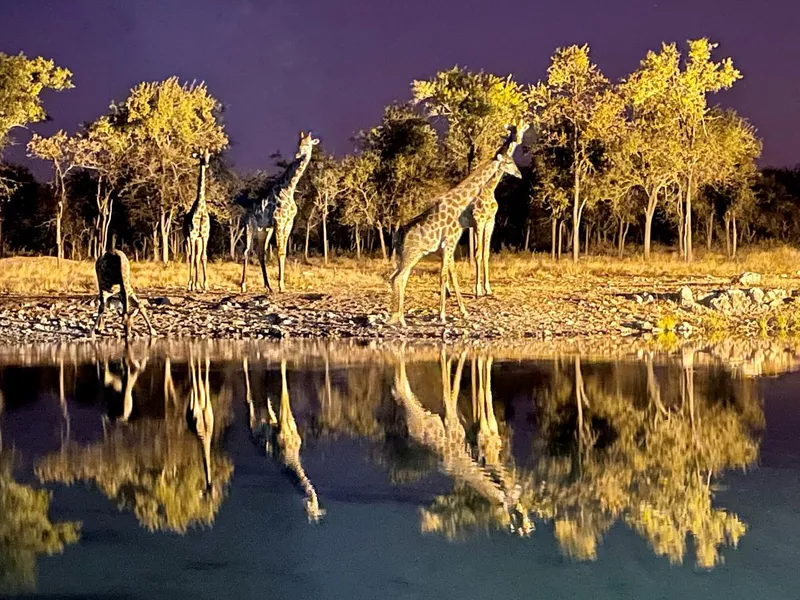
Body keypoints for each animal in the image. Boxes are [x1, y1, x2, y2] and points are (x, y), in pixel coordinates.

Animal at [241, 131, 318, 292]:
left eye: (308, 144)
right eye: (299, 143)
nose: (298, 154)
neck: (289, 189)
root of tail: (246, 212)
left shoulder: (288, 222)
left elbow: (283, 253)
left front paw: (280, 285)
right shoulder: (279, 221)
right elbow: (280, 251)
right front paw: (281, 286)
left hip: (264, 231)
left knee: (261, 252)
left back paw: (268, 287)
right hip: (249, 226)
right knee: (247, 251)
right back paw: (243, 286)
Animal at [242, 356, 324, 520]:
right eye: (311, 510)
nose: (313, 505)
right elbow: (283, 387)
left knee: (265, 406)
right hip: (255, 421)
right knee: (250, 402)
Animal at [390, 144, 524, 326]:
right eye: (509, 161)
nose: (520, 174)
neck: (458, 205)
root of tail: (397, 237)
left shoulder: (448, 247)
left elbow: (451, 275)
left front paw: (462, 311)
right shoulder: (449, 243)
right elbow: (444, 276)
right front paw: (442, 315)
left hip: (406, 257)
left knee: (398, 279)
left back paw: (399, 318)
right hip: (410, 256)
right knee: (398, 279)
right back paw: (401, 320)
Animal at [462, 122, 532, 298]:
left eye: (523, 129)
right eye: (513, 130)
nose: (518, 140)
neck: (489, 188)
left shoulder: (490, 221)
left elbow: (485, 253)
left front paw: (487, 288)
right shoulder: (479, 222)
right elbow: (478, 253)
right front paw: (478, 290)